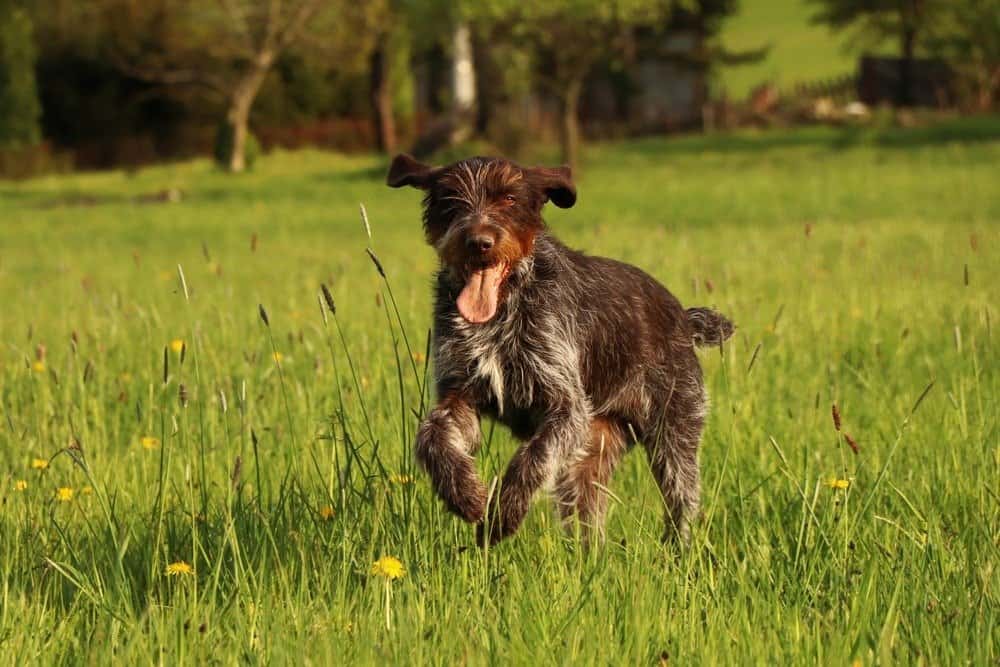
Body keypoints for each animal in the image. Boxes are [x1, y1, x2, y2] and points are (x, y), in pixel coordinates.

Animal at [386, 154, 732, 544]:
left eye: (509, 198)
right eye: (450, 199)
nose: (479, 242)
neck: (503, 308)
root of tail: (684, 319)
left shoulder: (566, 407)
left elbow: (533, 457)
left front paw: (504, 513)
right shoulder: (460, 394)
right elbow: (431, 438)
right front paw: (464, 494)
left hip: (674, 434)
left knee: (681, 502)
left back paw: (675, 549)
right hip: (589, 458)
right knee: (587, 514)